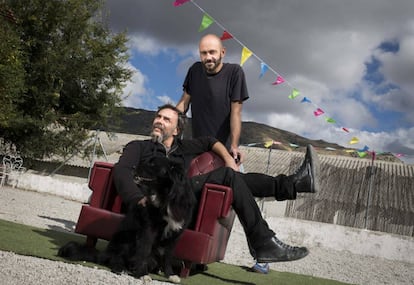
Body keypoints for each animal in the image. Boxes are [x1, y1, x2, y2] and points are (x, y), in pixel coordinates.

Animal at [57, 155, 197, 282]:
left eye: (152, 164)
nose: (133, 167)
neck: (166, 195)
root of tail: (104, 253)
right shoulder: (148, 230)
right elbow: (144, 251)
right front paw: (142, 274)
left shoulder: (176, 233)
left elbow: (168, 256)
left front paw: (170, 275)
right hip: (125, 241)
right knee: (115, 260)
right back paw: (122, 268)